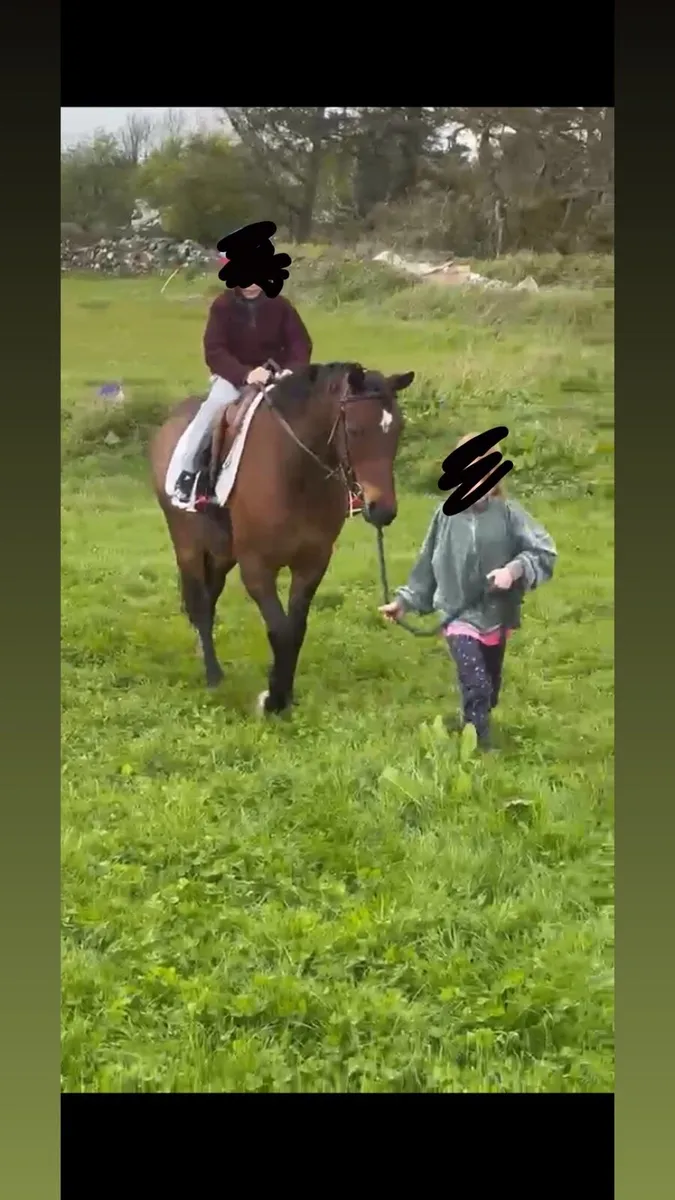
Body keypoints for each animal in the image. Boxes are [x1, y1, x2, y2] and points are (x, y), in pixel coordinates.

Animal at [149, 362, 415, 715]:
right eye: (356, 430)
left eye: (397, 429)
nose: (381, 510)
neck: (294, 473)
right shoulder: (256, 567)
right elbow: (279, 630)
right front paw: (273, 700)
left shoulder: (313, 562)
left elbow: (296, 629)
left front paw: (284, 696)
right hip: (188, 545)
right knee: (201, 606)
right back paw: (214, 676)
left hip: (220, 553)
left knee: (210, 597)